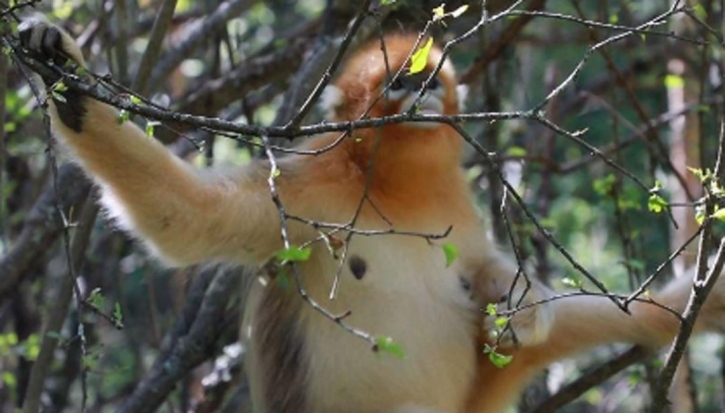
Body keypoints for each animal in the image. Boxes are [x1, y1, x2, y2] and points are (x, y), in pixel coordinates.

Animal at [18, 20, 725, 412]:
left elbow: (489, 270)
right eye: (399, 81)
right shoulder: (303, 187)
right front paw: (69, 87)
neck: (389, 189)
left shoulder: (456, 211)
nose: (420, 93)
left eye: (429, 79)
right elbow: (183, 217)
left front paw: (519, 305)